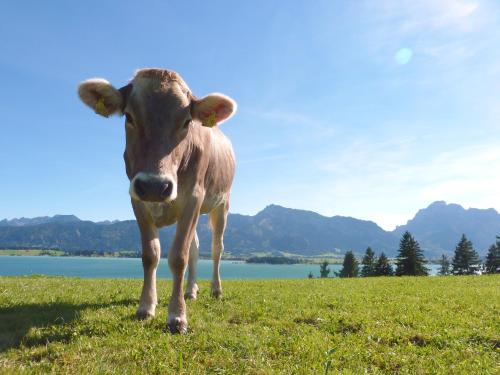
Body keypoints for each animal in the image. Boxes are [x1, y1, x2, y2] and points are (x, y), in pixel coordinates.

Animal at [77, 69, 235, 334]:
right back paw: (191, 291)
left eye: (187, 122)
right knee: (196, 247)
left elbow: (178, 257)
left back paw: (216, 289)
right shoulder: (137, 199)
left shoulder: (194, 197)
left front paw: (177, 316)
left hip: (221, 204)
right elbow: (151, 255)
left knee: (216, 247)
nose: (154, 185)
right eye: (129, 116)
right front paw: (146, 307)